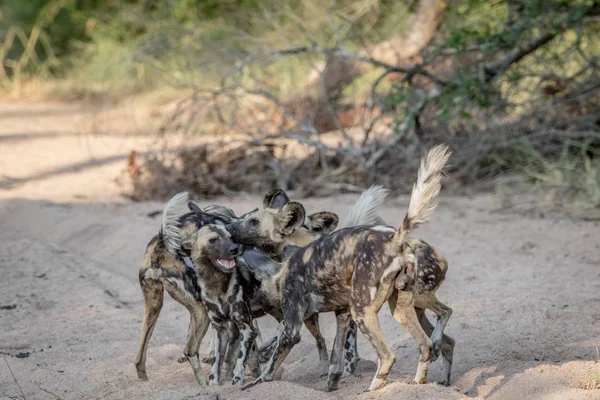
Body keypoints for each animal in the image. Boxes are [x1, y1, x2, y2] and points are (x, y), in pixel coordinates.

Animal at [239, 145, 454, 392]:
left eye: (252, 288)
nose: (248, 308)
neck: (282, 270)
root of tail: (394, 241)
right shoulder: (342, 316)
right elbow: (335, 358)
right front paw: (331, 385)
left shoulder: (292, 326)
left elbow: (271, 365)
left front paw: (254, 383)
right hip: (401, 307)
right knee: (428, 343)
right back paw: (420, 383)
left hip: (365, 312)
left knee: (389, 355)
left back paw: (374, 389)